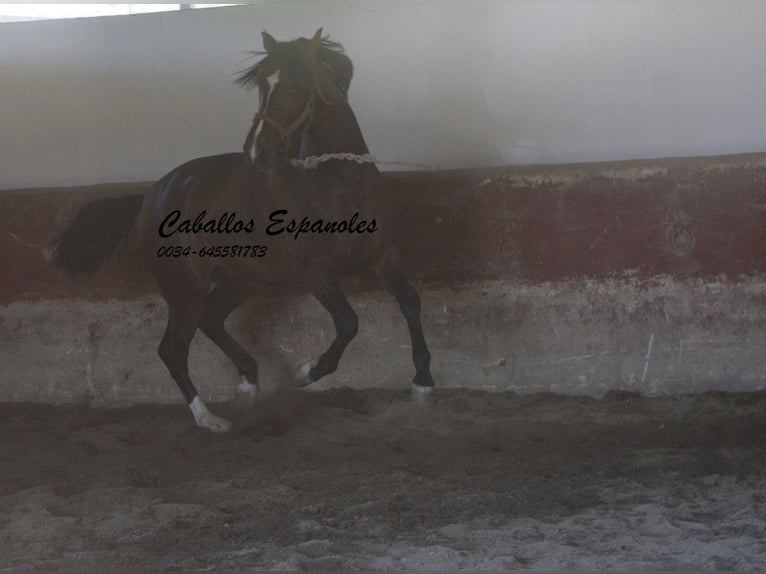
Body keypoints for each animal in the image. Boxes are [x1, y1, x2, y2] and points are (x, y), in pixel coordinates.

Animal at [53, 29, 436, 430]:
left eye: (296, 87)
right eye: (263, 88)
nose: (256, 152)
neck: (341, 185)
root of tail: (150, 196)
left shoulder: (385, 257)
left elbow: (410, 302)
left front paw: (423, 383)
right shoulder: (315, 272)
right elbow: (348, 322)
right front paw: (306, 372)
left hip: (244, 279)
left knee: (211, 319)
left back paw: (248, 382)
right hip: (184, 288)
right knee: (172, 349)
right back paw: (210, 419)